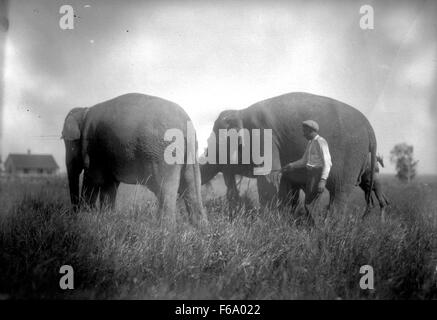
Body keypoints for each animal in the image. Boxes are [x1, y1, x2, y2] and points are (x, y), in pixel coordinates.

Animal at [61, 92, 208, 228]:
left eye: (67, 141)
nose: (73, 214)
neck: (84, 111)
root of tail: (185, 122)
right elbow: (109, 185)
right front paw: (106, 219)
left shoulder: (92, 148)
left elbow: (92, 178)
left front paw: (86, 219)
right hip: (190, 152)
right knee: (191, 185)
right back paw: (200, 229)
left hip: (163, 153)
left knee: (165, 187)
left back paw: (165, 230)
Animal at [200, 91, 374, 219]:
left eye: (213, 142)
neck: (241, 112)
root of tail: (369, 127)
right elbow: (283, 182)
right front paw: (282, 218)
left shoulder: (264, 136)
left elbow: (268, 177)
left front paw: (266, 221)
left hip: (352, 158)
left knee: (339, 192)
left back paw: (329, 226)